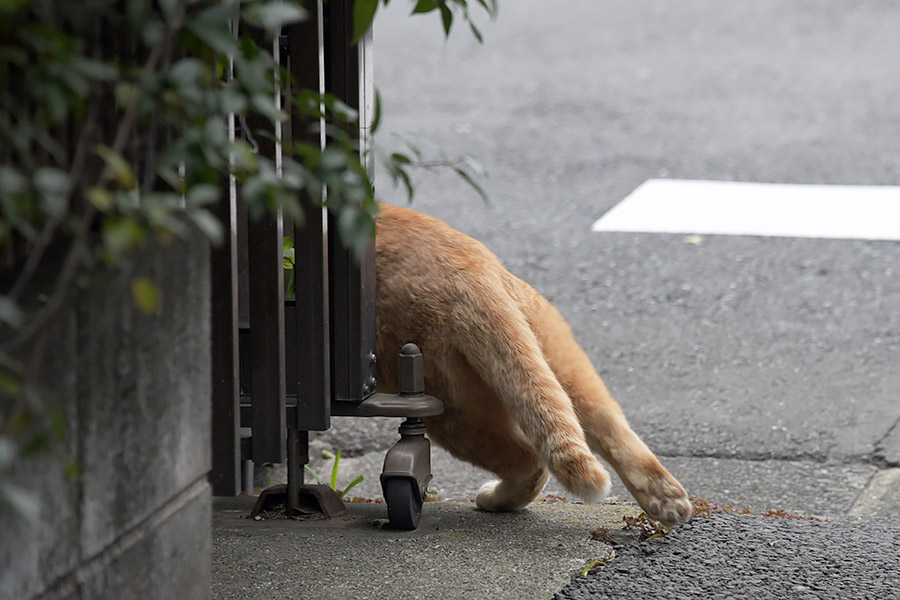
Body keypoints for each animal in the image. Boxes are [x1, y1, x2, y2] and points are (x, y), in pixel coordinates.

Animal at [372, 203, 688, 524]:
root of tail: (466, 273)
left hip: (445, 400)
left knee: (530, 461)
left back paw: (493, 499)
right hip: (554, 349)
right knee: (604, 421)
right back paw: (666, 498)